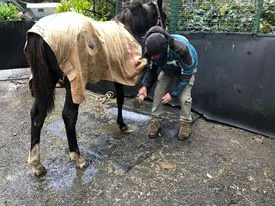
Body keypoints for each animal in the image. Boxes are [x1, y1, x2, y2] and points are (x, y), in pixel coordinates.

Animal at [23, 0, 166, 176]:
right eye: (162, 16)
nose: (165, 33)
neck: (127, 27)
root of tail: (38, 35)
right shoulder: (123, 72)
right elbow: (122, 96)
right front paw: (125, 121)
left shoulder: (115, 74)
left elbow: (119, 97)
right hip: (73, 82)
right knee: (68, 115)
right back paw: (78, 158)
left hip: (45, 83)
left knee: (37, 115)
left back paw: (37, 164)